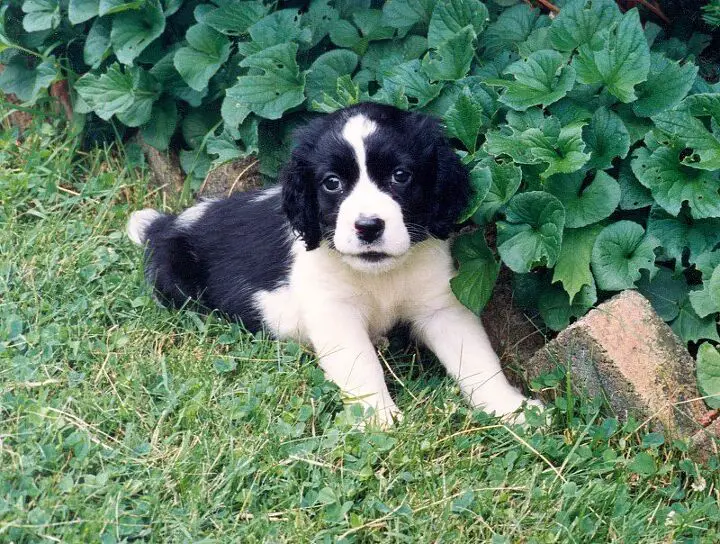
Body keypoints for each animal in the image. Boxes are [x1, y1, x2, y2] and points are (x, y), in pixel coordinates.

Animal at [128, 102, 540, 424]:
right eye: (331, 183)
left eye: (400, 176)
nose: (368, 226)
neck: (378, 275)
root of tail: (165, 224)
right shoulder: (334, 311)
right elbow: (361, 365)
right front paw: (378, 420)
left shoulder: (441, 305)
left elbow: (476, 358)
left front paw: (510, 408)